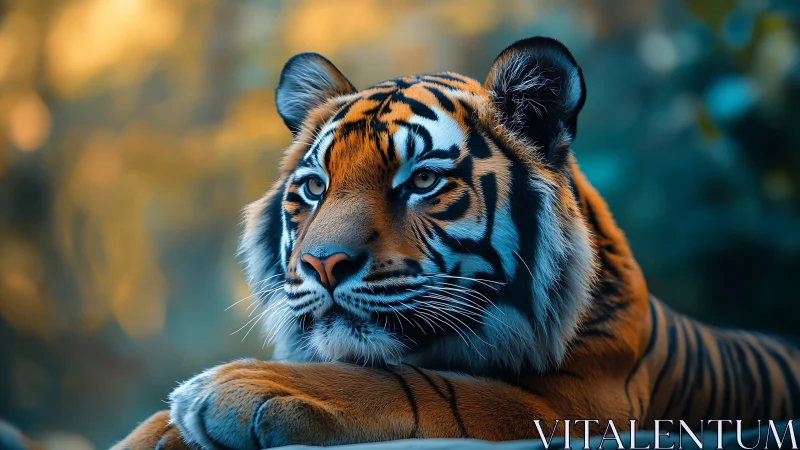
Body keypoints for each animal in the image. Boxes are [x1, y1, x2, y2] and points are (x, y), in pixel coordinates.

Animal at [113, 37, 800, 449]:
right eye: (313, 188)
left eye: (421, 181)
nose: (322, 263)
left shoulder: (580, 401)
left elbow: (421, 383)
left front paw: (235, 389)